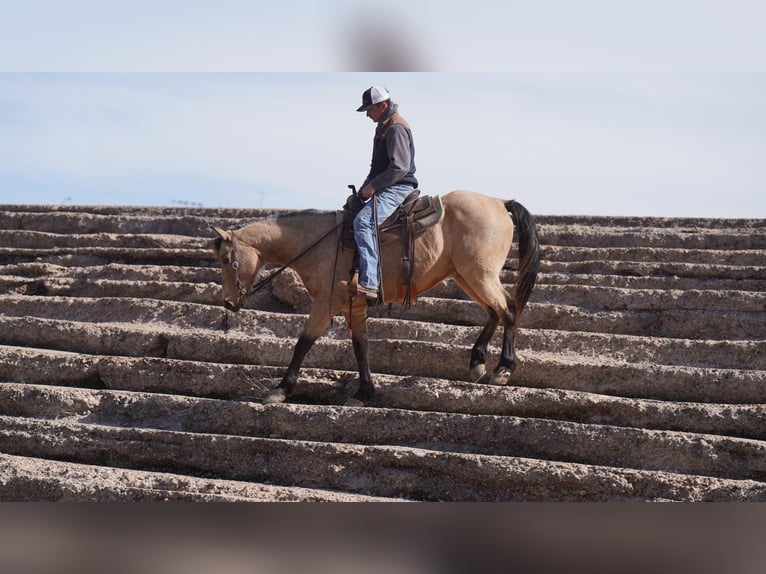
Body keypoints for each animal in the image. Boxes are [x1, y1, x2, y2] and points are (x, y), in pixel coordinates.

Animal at [210, 191, 540, 408]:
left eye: (226, 260)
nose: (228, 302)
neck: (319, 243)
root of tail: (499, 202)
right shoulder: (353, 307)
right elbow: (361, 348)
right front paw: (364, 393)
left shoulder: (326, 305)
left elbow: (303, 343)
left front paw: (280, 390)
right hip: (466, 276)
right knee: (494, 312)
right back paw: (477, 363)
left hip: (479, 275)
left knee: (509, 309)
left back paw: (502, 369)